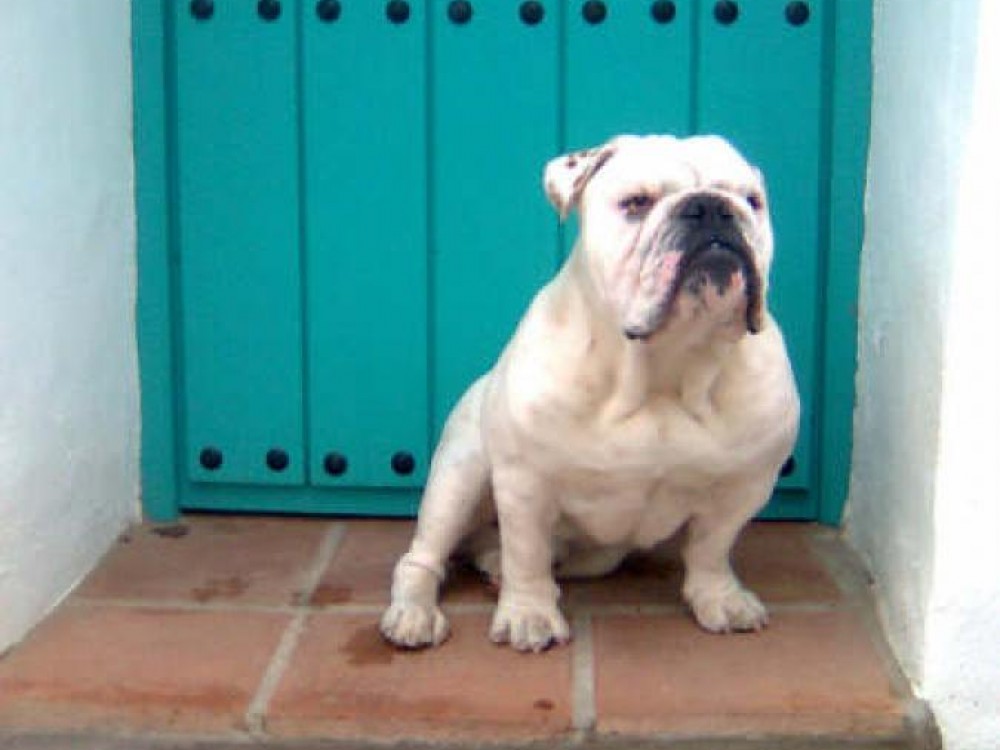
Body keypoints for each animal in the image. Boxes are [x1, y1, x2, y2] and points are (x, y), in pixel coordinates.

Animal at [380, 134, 800, 652]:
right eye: (636, 202)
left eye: (751, 200)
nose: (712, 208)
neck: (665, 367)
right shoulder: (525, 481)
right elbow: (527, 551)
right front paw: (529, 614)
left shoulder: (743, 486)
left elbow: (712, 547)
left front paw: (719, 597)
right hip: (459, 474)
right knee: (425, 556)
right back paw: (414, 613)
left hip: (598, 552)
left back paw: (495, 566)